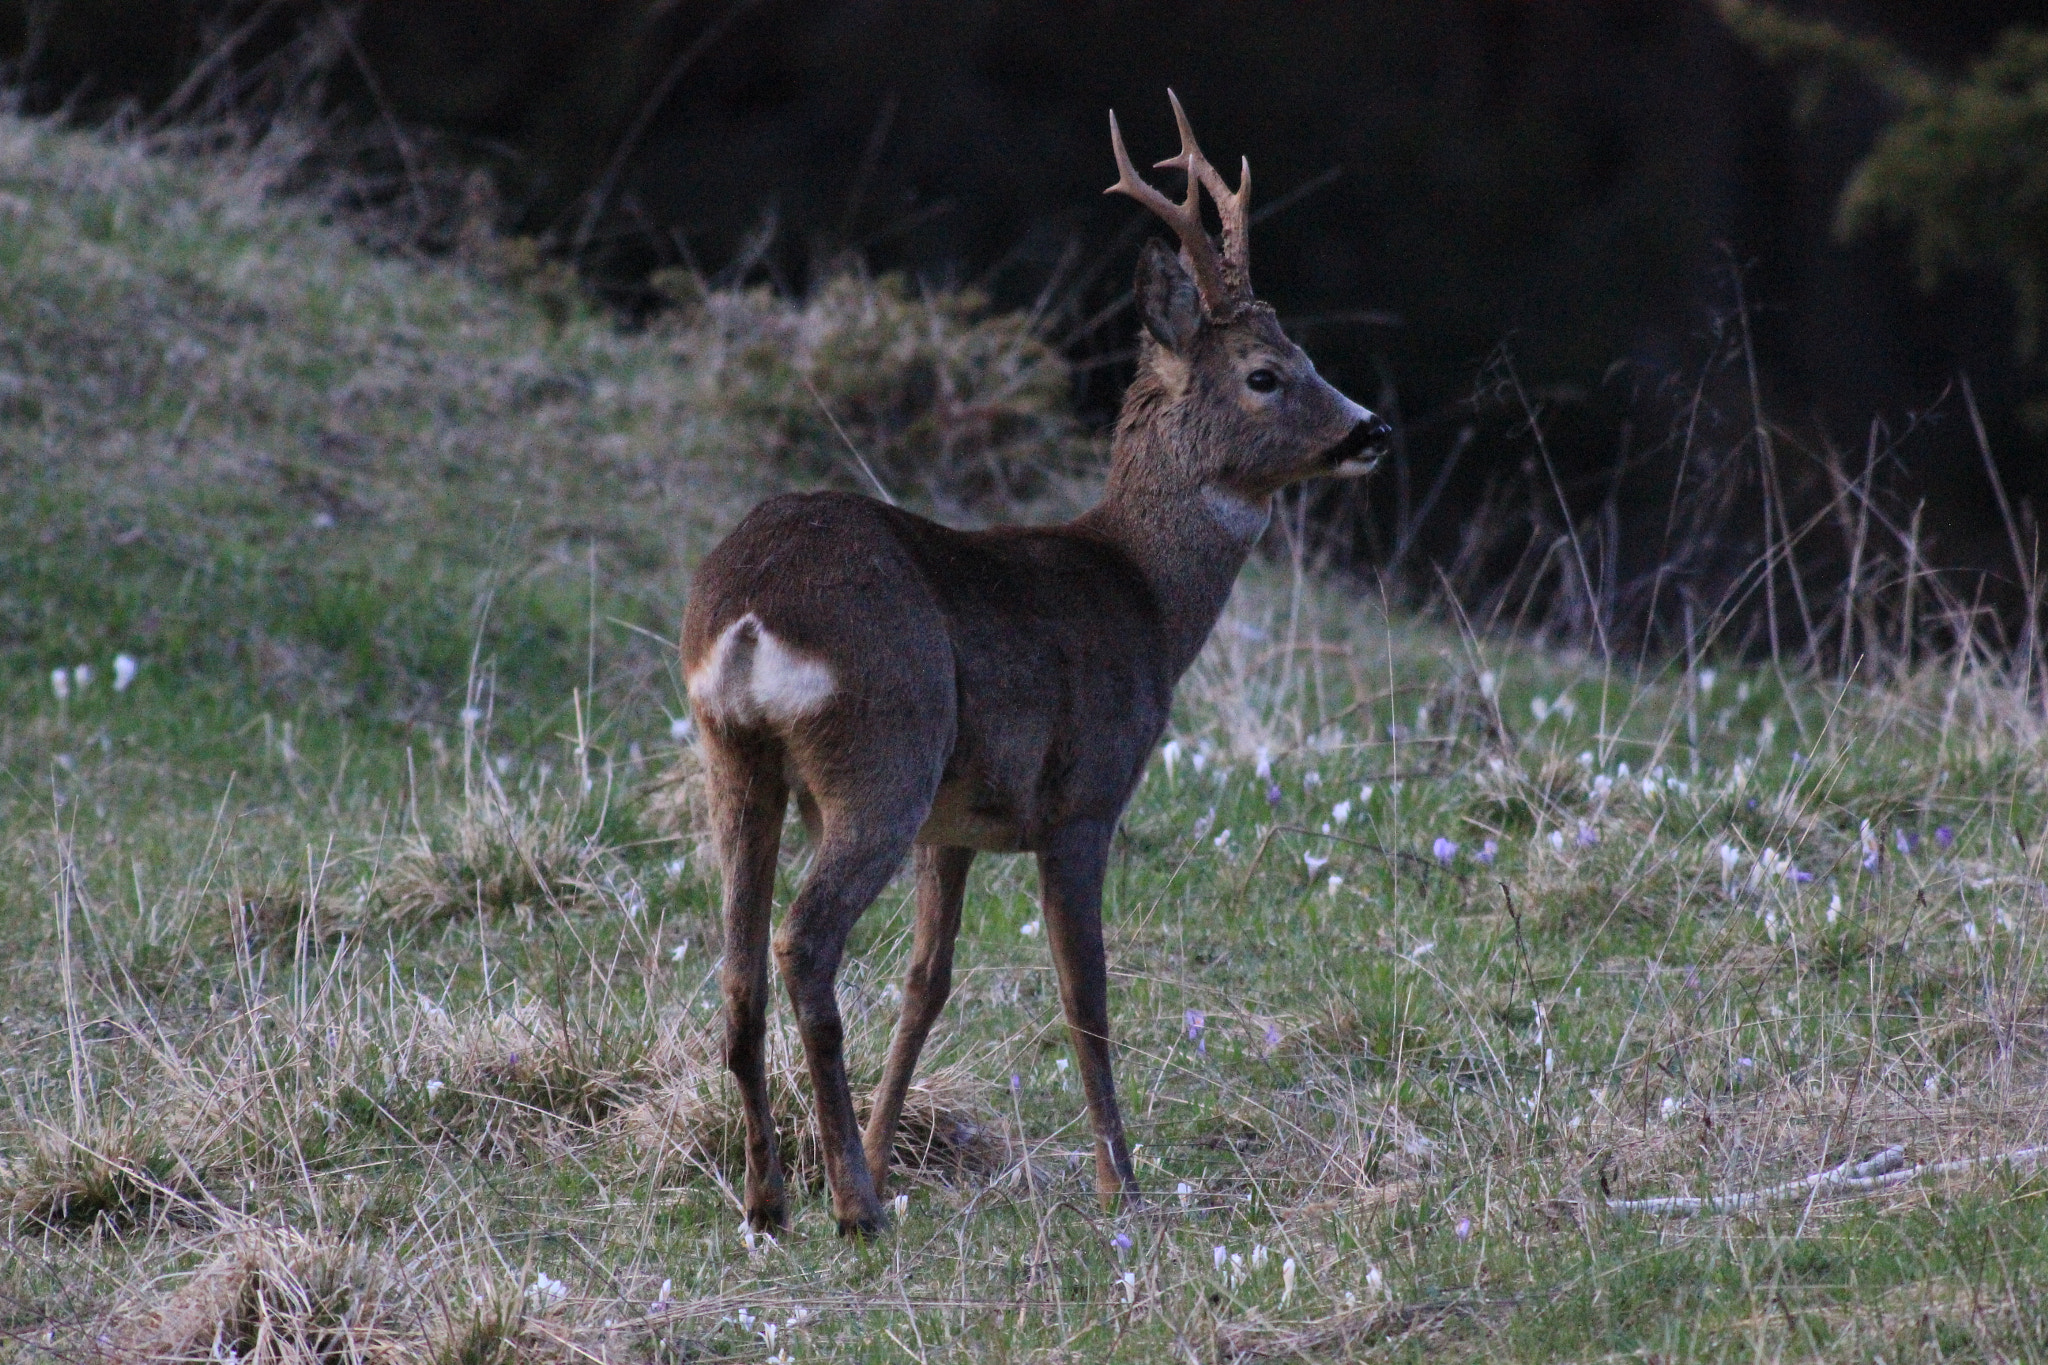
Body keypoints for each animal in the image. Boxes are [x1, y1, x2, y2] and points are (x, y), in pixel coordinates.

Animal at [684, 90, 1392, 1236]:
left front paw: (886, 1141)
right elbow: (1084, 991)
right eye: (1266, 373)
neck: (1145, 594)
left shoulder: (957, 824)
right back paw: (852, 1207)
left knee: (740, 962)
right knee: (803, 943)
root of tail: (746, 618)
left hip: (737, 757)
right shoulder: (1084, 795)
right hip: (883, 746)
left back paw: (772, 1197)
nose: (1371, 429)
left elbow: (928, 981)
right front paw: (1121, 1182)